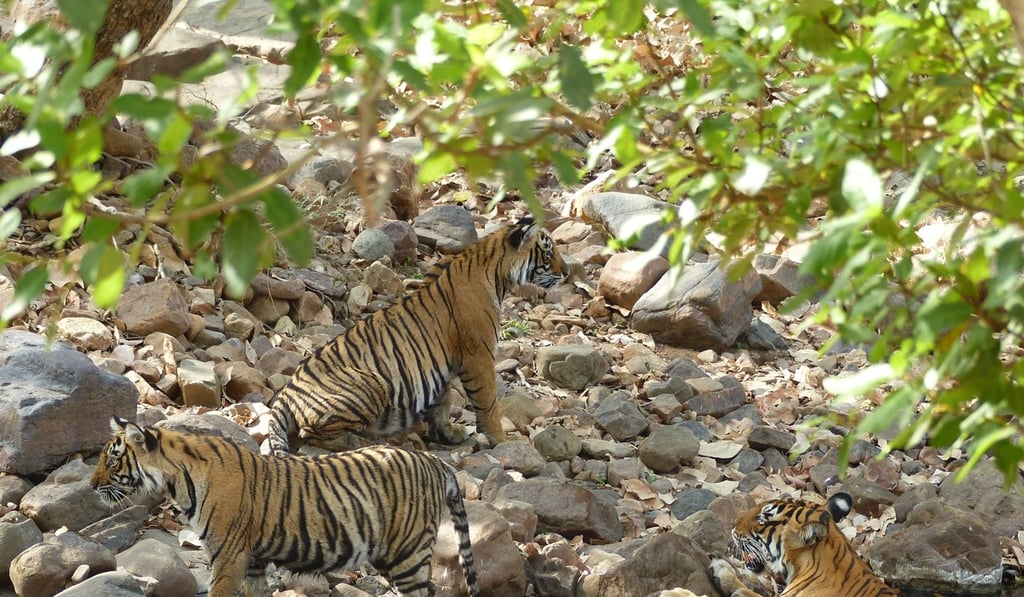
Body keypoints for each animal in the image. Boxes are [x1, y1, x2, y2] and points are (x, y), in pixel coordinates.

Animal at [91, 417, 481, 597]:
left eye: (112, 460)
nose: (92, 486)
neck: (179, 481)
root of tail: (435, 461)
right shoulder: (252, 561)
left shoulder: (228, 555)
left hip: (408, 554)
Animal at [266, 215, 566, 456]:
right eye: (548, 253)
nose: (566, 272)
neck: (496, 274)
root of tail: (287, 391)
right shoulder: (478, 355)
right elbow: (489, 402)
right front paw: (502, 440)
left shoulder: (444, 365)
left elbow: (442, 402)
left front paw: (448, 433)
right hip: (371, 383)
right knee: (309, 432)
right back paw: (362, 442)